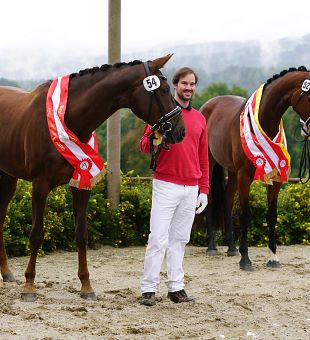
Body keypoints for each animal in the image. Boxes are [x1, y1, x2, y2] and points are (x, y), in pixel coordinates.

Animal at [0, 53, 186, 300]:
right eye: (164, 89)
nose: (180, 131)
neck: (68, 118)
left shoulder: (82, 184)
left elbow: (81, 234)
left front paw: (86, 286)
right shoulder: (40, 186)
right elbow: (36, 234)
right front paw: (29, 286)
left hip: (8, 178)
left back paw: (6, 272)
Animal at [200, 66, 310, 270]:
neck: (263, 121)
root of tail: (207, 106)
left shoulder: (275, 178)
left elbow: (272, 215)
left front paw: (273, 258)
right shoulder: (245, 176)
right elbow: (245, 213)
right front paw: (245, 259)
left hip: (232, 172)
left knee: (227, 200)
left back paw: (231, 247)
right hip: (210, 164)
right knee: (209, 198)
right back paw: (212, 246)